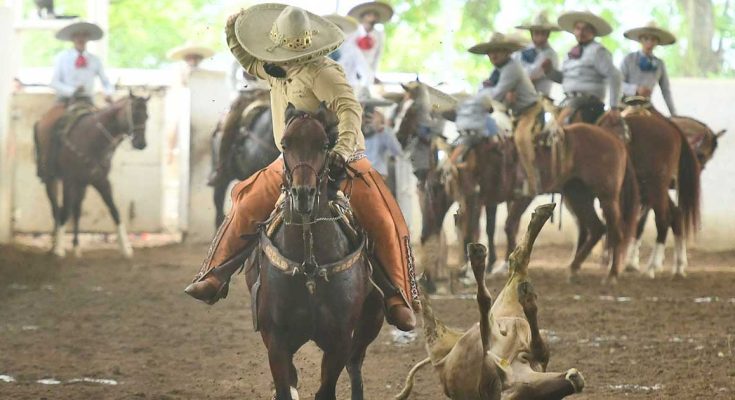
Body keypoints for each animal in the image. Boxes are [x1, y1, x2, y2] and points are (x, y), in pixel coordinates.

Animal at [34, 92, 151, 258]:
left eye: (147, 116)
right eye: (134, 114)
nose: (141, 144)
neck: (92, 139)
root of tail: (41, 120)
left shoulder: (100, 181)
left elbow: (114, 211)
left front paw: (126, 248)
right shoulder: (69, 181)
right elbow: (65, 211)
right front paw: (59, 249)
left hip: (81, 185)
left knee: (76, 210)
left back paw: (76, 247)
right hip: (51, 179)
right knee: (56, 209)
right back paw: (54, 245)